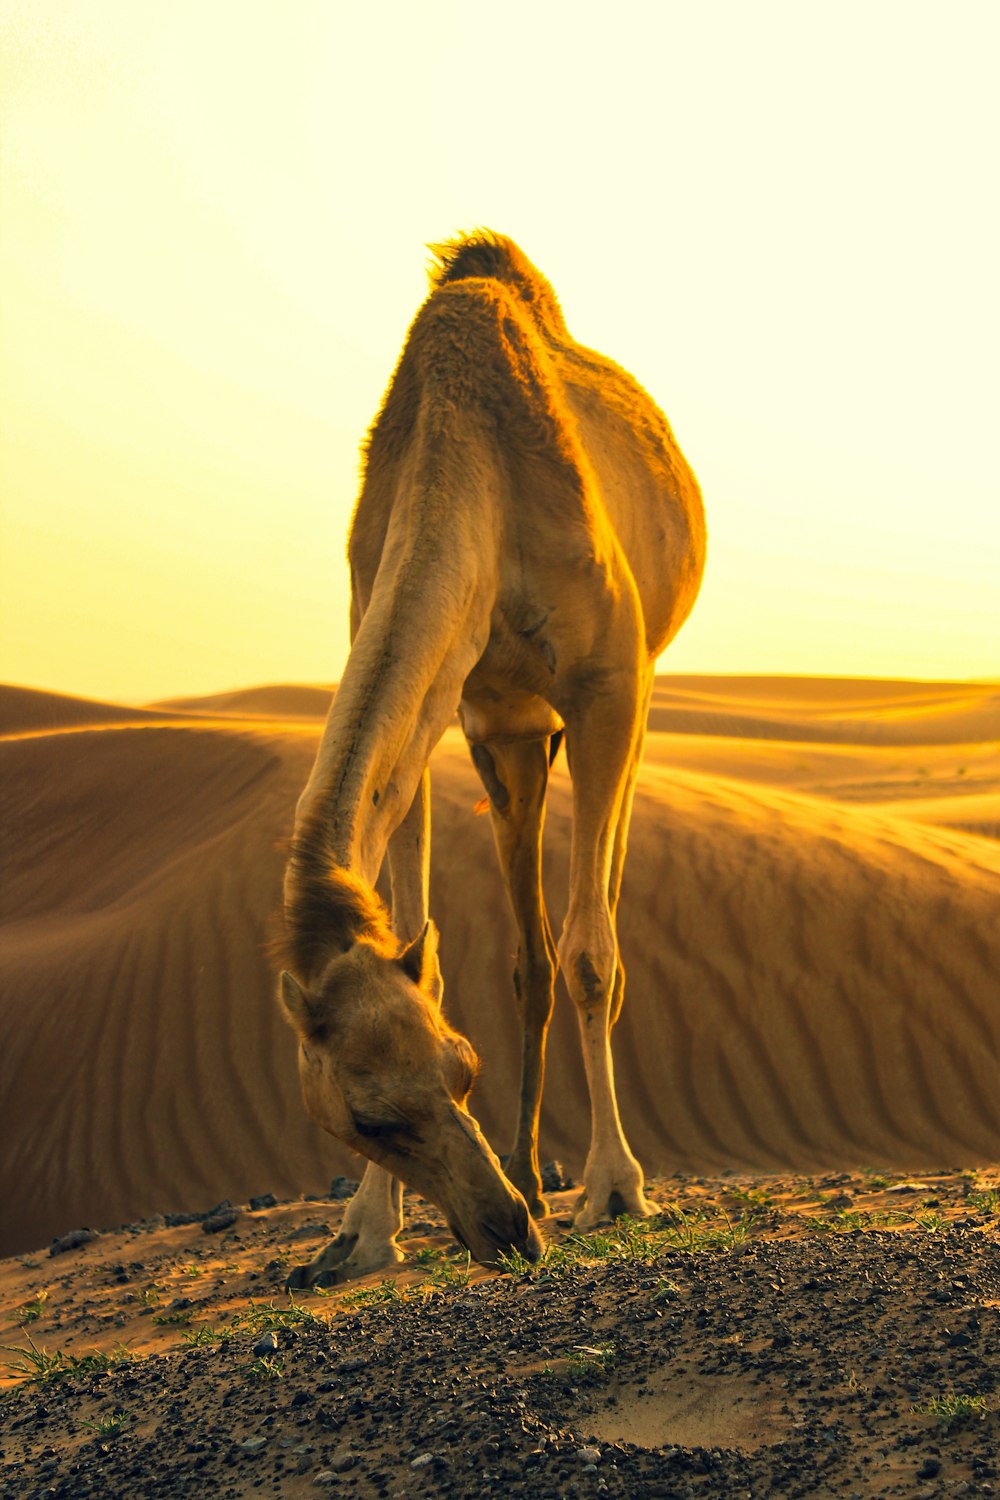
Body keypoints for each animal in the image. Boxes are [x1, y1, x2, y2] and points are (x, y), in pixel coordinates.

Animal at [277, 228, 707, 1284]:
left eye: (462, 1070)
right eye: (367, 1118)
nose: (507, 1231)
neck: (470, 463)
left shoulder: (608, 684)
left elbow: (596, 956)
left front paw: (614, 1190)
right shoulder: (445, 708)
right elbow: (410, 892)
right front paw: (362, 1230)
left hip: (624, 706)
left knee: (595, 923)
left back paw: (572, 1180)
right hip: (508, 738)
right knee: (530, 949)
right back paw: (526, 1166)